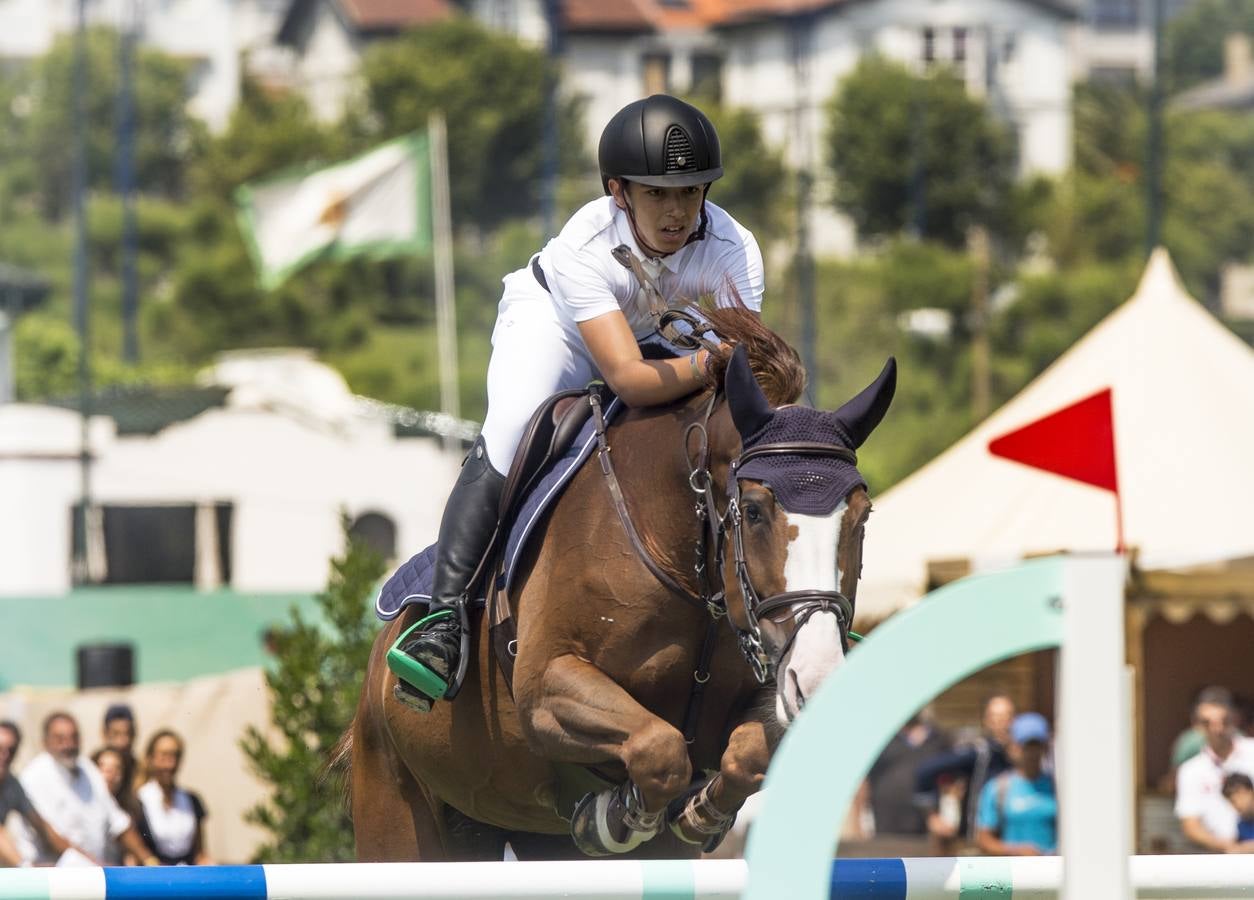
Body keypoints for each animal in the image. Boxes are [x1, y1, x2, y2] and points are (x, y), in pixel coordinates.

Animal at [338, 313, 897, 862]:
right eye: (755, 511)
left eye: (864, 517)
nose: (819, 677)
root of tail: (374, 665)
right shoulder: (546, 685)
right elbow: (658, 747)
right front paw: (613, 817)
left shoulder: (773, 674)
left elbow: (747, 752)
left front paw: (699, 814)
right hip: (396, 810)